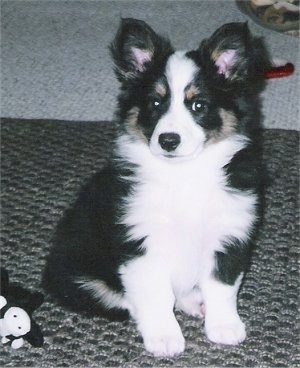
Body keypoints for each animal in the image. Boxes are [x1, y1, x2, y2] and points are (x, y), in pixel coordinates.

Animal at [44, 19, 270, 356]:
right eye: (154, 103)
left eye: (199, 105)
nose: (168, 140)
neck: (183, 175)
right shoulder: (140, 243)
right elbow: (155, 295)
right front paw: (164, 338)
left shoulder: (230, 234)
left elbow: (223, 286)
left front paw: (225, 327)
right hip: (79, 274)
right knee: (118, 298)